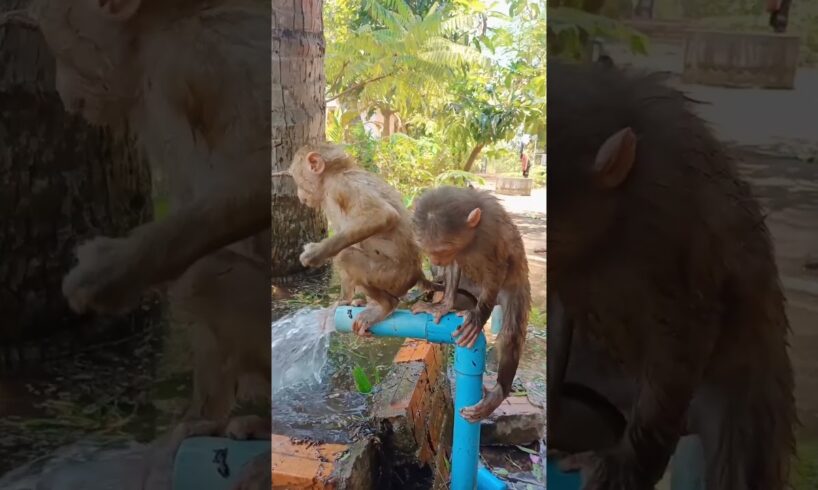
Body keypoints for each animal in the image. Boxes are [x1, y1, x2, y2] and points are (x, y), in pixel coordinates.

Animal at [286, 142, 430, 334]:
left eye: (298, 181)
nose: (299, 195)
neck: (331, 177)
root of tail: (418, 273)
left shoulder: (342, 186)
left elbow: (382, 215)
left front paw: (315, 253)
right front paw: (343, 300)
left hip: (392, 276)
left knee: (345, 256)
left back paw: (386, 305)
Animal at [412, 186, 532, 424]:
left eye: (443, 249)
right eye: (428, 249)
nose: (435, 260)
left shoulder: (491, 231)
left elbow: (496, 268)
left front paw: (478, 318)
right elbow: (454, 266)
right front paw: (444, 304)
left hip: (512, 289)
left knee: (511, 333)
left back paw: (500, 390)